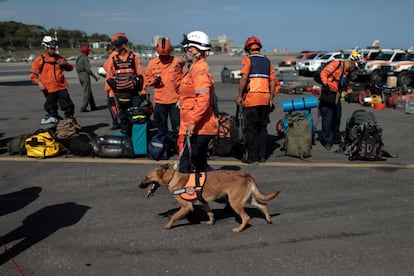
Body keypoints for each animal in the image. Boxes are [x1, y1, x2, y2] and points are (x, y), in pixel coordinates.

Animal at [137, 164, 280, 233]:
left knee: (247, 217)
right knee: (264, 205)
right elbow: (210, 213)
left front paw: (168, 225)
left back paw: (239, 229)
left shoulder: (187, 207)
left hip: (235, 203)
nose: (138, 186)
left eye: (147, 177)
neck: (173, 178)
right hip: (249, 200)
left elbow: (174, 216)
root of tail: (246, 175)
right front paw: (211, 222)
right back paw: (268, 218)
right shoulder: (204, 202)